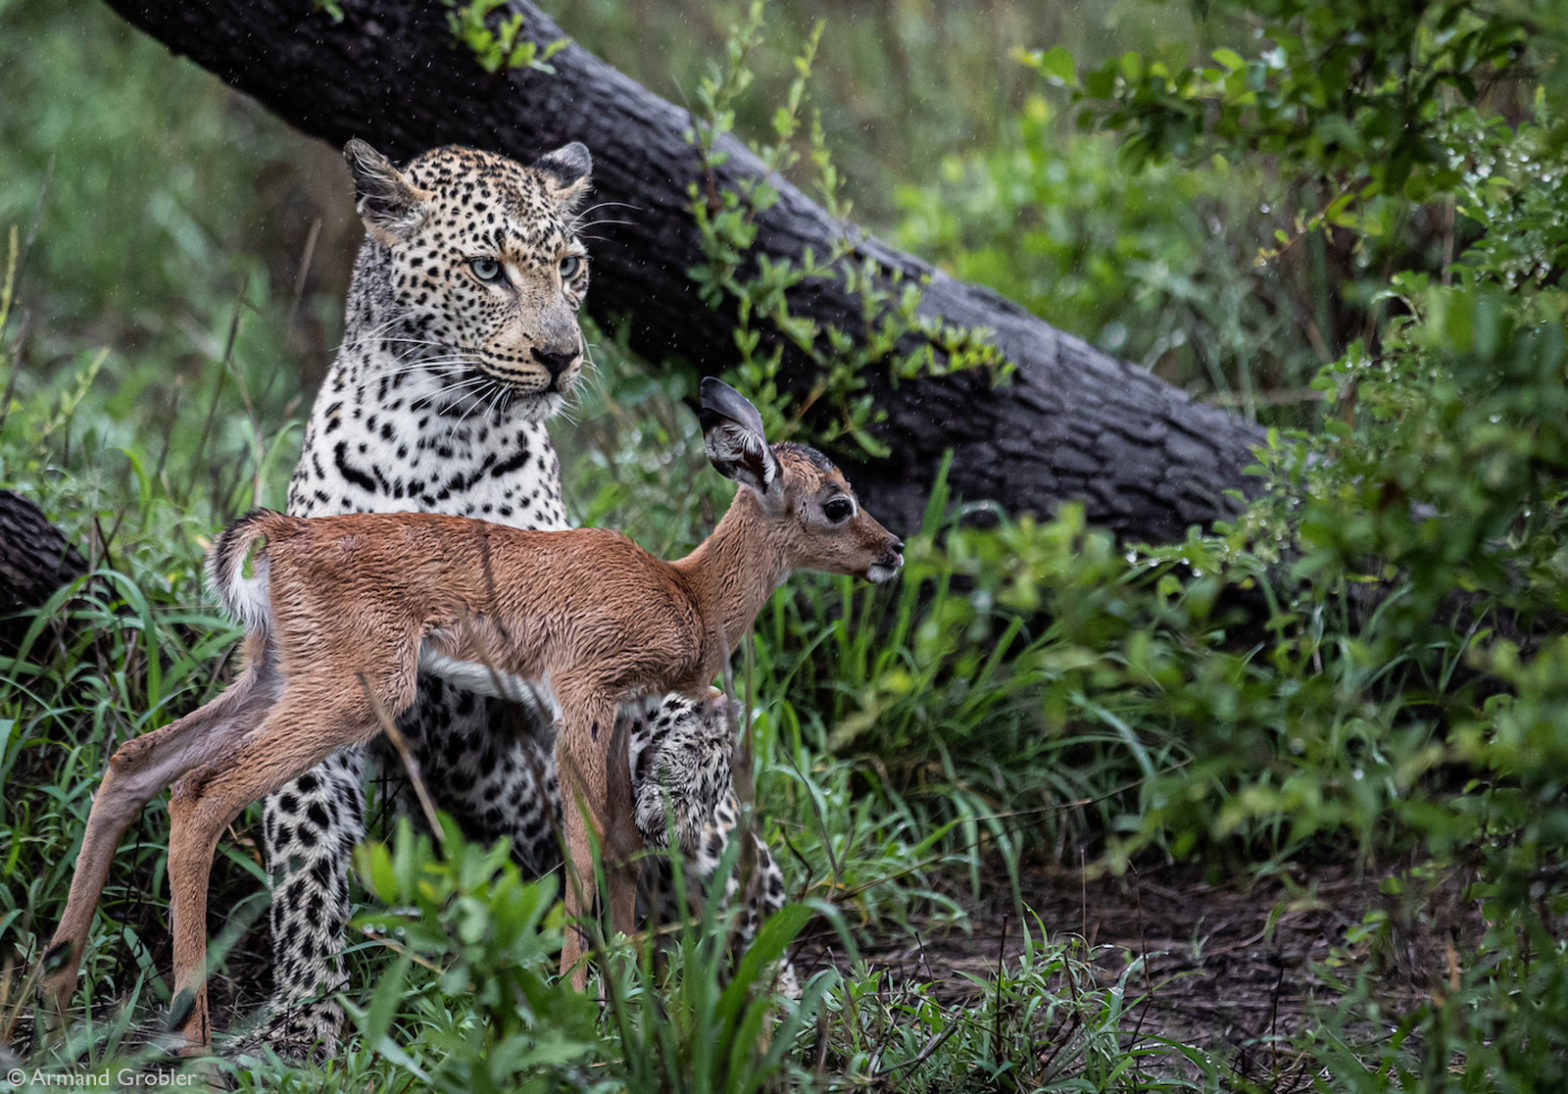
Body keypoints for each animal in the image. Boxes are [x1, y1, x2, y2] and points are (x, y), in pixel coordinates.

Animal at [249, 140, 790, 1053]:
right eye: (485, 269)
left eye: (570, 267)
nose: (563, 355)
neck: (427, 436)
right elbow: (306, 861)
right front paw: (304, 1018)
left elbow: (690, 725)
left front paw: (668, 788)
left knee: (754, 909)